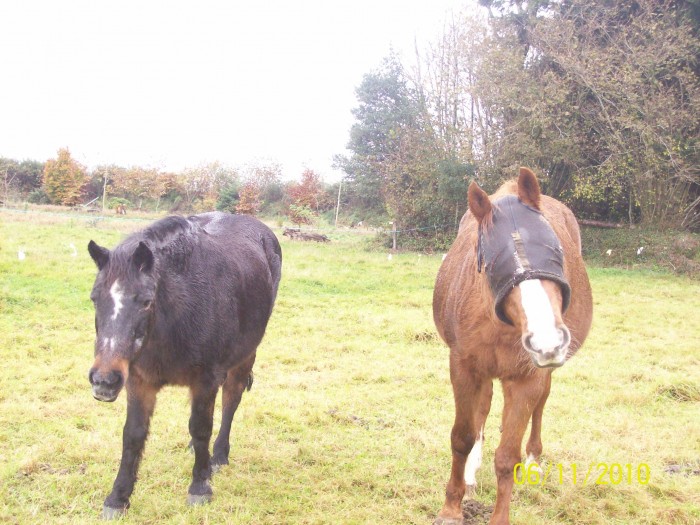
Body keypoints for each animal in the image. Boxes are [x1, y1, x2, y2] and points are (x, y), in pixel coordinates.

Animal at [87, 211, 282, 516]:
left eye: (146, 301)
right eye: (95, 299)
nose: (104, 381)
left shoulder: (205, 380)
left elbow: (201, 428)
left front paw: (200, 487)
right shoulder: (139, 381)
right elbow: (133, 435)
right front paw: (117, 498)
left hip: (245, 356)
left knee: (231, 400)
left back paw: (218, 455)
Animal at [432, 168, 592, 524]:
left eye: (556, 249)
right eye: (491, 261)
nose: (548, 341)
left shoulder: (527, 377)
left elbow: (507, 456)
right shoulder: (463, 366)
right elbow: (462, 437)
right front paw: (451, 507)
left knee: (540, 405)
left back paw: (533, 458)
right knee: (483, 410)